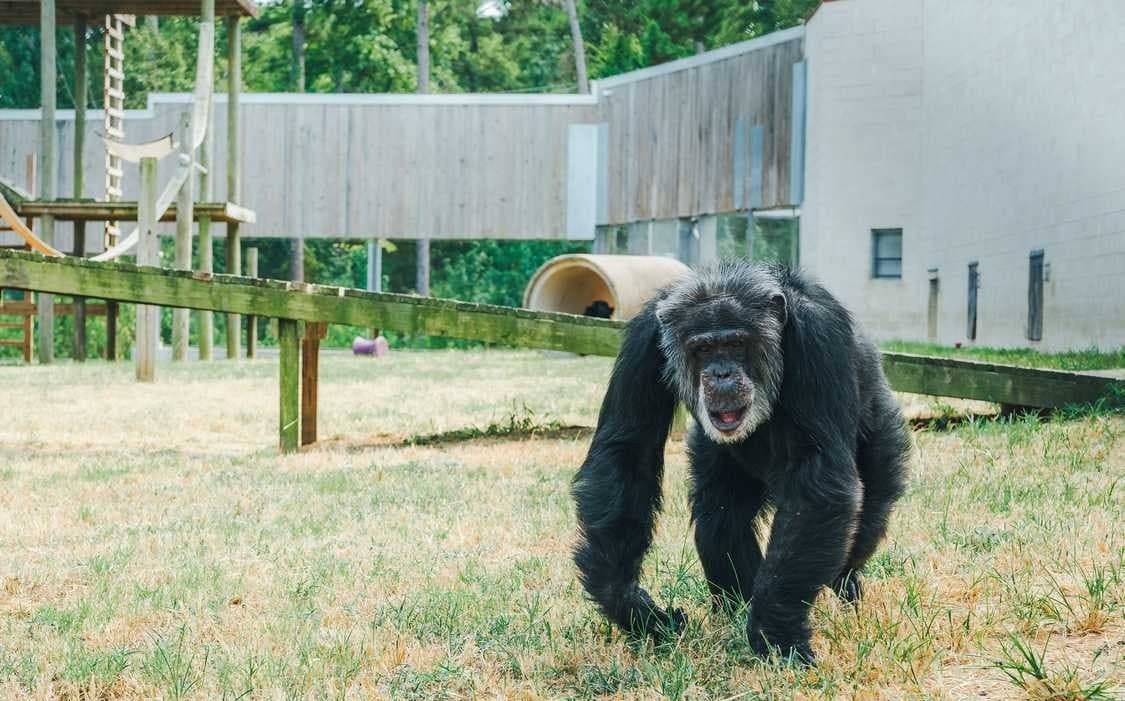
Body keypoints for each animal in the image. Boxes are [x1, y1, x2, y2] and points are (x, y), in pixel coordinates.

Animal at [572, 261, 911, 664]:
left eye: (735, 343)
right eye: (702, 349)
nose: (721, 373)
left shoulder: (819, 336)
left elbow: (818, 475)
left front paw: (776, 633)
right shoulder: (644, 340)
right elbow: (628, 449)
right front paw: (632, 606)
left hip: (882, 434)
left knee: (866, 520)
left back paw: (846, 589)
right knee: (720, 515)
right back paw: (735, 609)